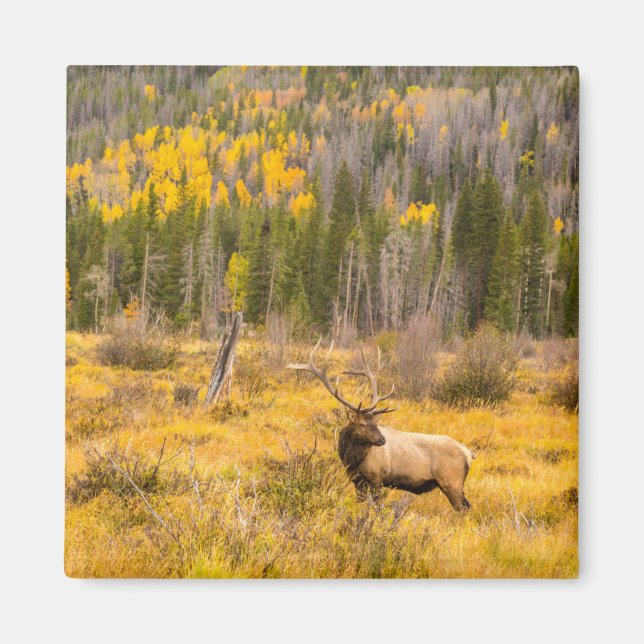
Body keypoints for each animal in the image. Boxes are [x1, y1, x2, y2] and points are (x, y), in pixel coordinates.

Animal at [286, 339, 474, 512]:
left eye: (375, 423)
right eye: (362, 424)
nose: (382, 440)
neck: (352, 459)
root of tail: (469, 453)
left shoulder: (377, 478)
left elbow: (375, 506)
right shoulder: (356, 480)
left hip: (452, 482)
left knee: (464, 508)